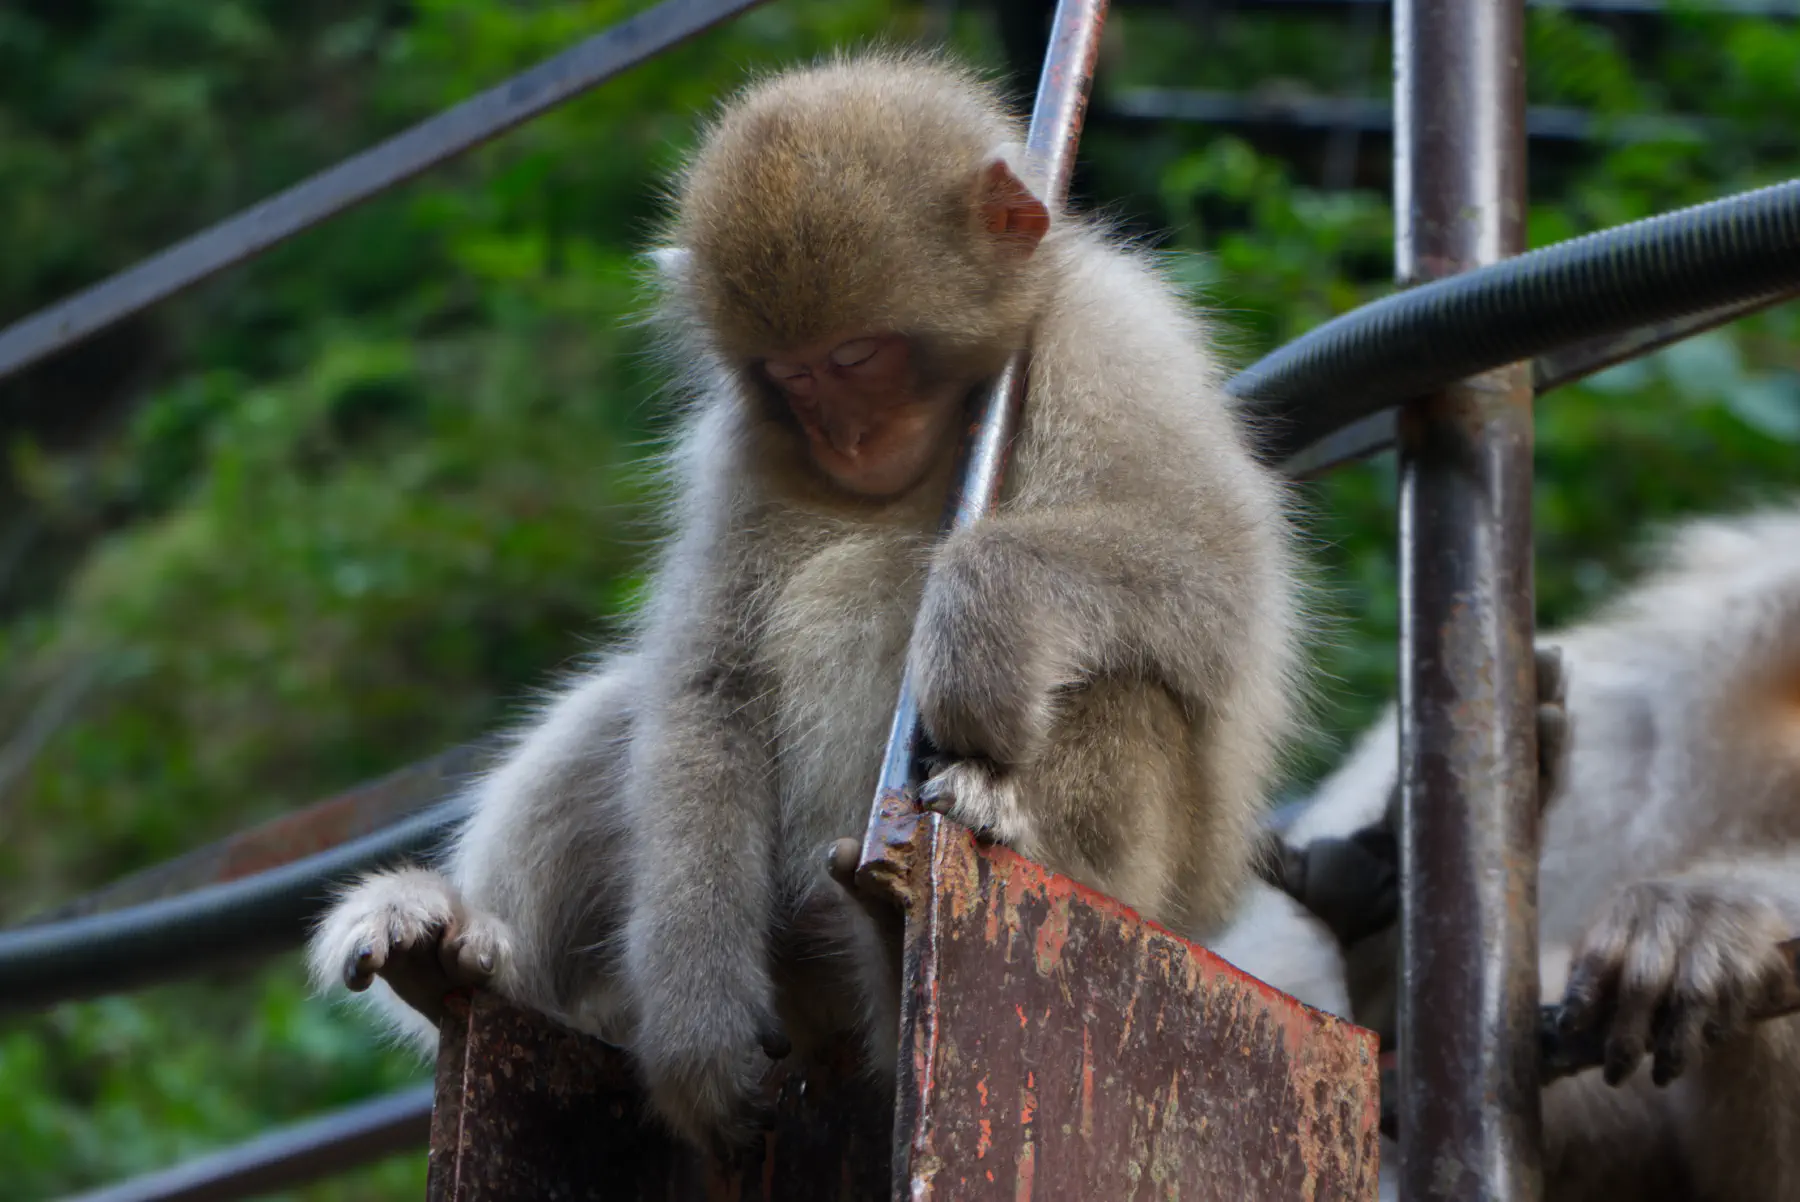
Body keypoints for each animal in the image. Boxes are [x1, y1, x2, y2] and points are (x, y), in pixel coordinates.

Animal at [307, 51, 1308, 1154]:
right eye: (793, 375)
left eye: (861, 355)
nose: (849, 438)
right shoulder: (738, 449)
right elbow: (710, 687)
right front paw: (696, 1028)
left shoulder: (1114, 345)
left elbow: (1219, 581)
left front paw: (981, 612)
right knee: (632, 711)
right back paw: (451, 951)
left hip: (1143, 895)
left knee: (1123, 684)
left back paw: (948, 877)